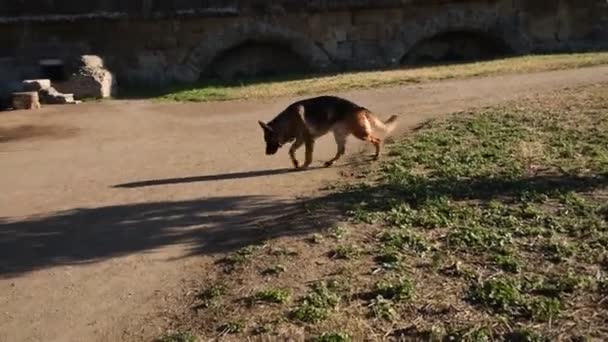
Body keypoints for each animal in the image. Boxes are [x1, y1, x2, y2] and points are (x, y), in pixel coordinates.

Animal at [258, 95, 396, 169]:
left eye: (267, 140)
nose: (266, 154)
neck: (287, 121)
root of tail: (359, 108)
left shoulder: (308, 140)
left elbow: (308, 156)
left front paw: (304, 165)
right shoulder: (300, 140)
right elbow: (291, 151)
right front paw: (296, 162)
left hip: (361, 134)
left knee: (377, 140)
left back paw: (377, 156)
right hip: (339, 135)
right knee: (341, 151)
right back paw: (330, 162)